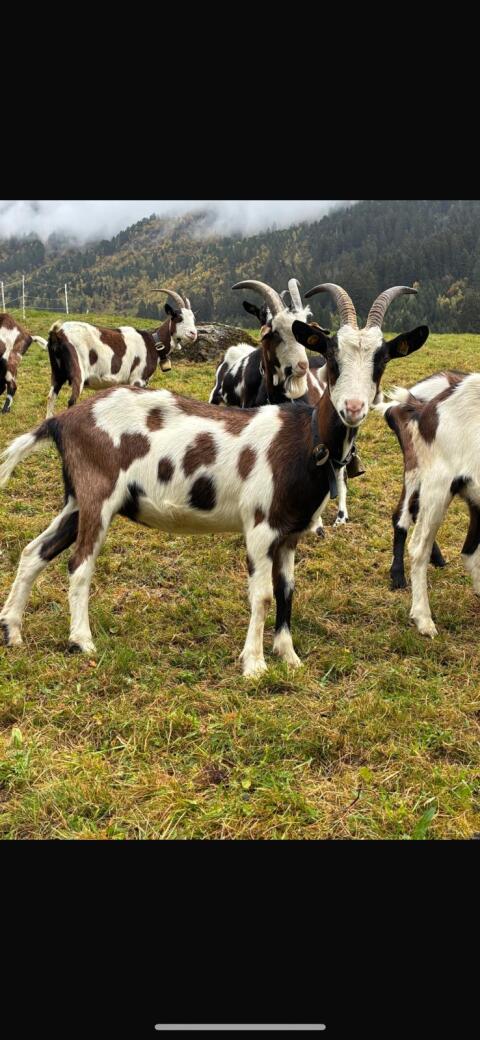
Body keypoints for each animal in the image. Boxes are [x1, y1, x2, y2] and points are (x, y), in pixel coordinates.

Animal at [45, 288, 197, 417]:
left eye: (193, 319)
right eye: (179, 318)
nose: (193, 333)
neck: (153, 343)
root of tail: (57, 334)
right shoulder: (137, 379)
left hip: (57, 373)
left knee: (51, 398)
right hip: (78, 372)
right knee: (71, 401)